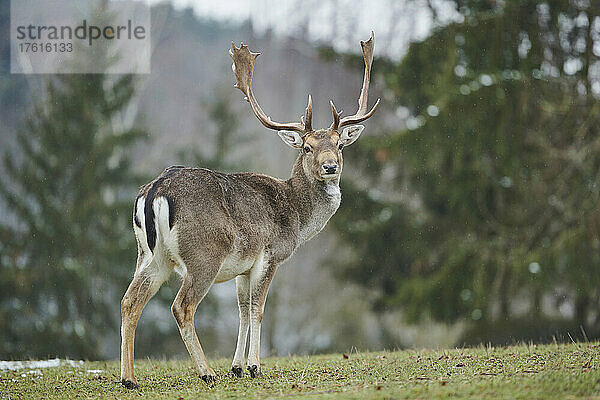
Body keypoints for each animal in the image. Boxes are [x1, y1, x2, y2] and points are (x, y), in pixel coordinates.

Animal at [119, 32, 378, 390]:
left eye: (339, 145)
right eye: (307, 147)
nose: (330, 167)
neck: (297, 218)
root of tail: (155, 190)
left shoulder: (242, 267)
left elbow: (242, 310)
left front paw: (237, 367)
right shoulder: (270, 254)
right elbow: (258, 309)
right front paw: (254, 366)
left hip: (149, 255)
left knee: (129, 301)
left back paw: (129, 379)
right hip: (203, 254)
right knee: (181, 306)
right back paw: (206, 372)